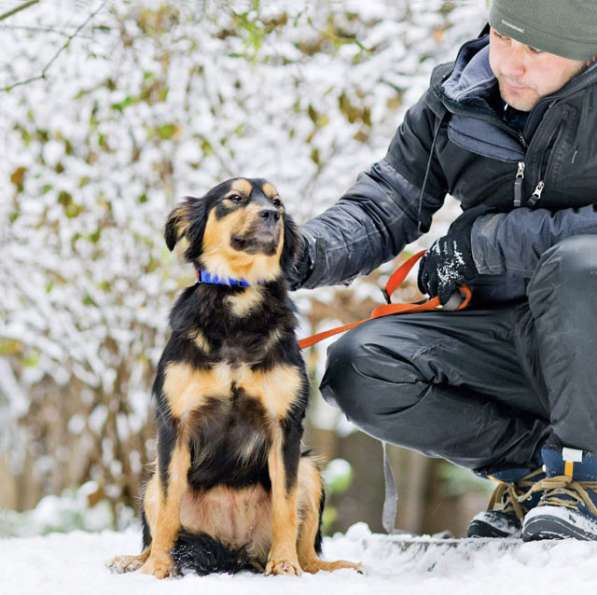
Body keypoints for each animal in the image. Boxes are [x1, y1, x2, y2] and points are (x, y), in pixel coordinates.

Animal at [108, 177, 358, 576]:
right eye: (235, 198)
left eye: (278, 202)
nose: (271, 215)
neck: (241, 297)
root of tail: (233, 549)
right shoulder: (174, 427)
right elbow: (167, 512)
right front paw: (157, 568)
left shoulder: (285, 429)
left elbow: (285, 506)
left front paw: (283, 564)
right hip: (151, 480)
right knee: (157, 519)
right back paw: (136, 560)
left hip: (308, 470)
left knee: (309, 553)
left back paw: (327, 565)